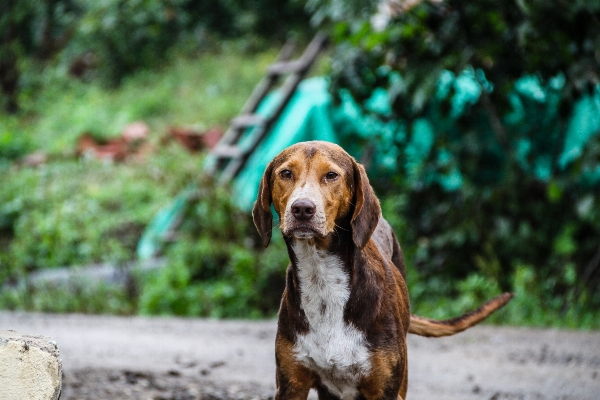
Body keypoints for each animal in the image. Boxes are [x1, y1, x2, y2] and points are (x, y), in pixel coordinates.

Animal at [251, 140, 512, 396]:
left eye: (331, 175)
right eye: (286, 173)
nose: (302, 209)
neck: (321, 276)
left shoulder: (385, 388)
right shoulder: (291, 384)